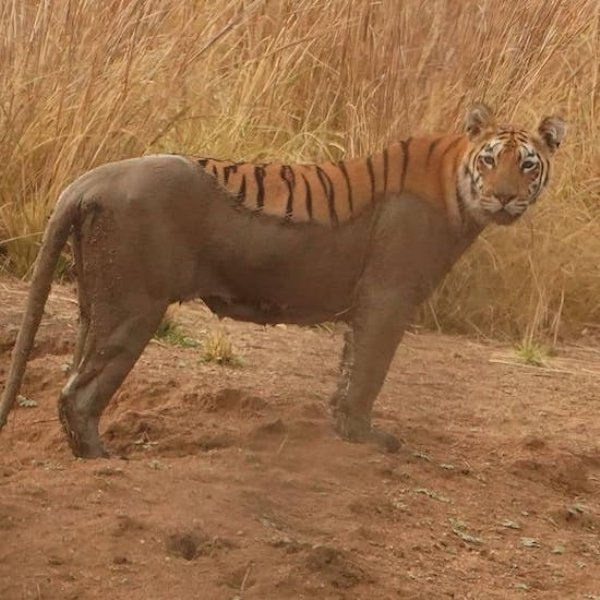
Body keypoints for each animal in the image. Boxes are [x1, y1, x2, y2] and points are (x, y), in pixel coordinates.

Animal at [0, 104, 564, 460]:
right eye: (490, 160)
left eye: (527, 164)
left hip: (95, 303)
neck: (458, 192)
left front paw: (342, 429)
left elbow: (349, 369)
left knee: (74, 376)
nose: (505, 197)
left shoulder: (368, 307)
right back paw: (102, 457)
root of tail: (89, 178)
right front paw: (365, 437)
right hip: (133, 307)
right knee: (77, 393)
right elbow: (369, 372)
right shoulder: (388, 299)